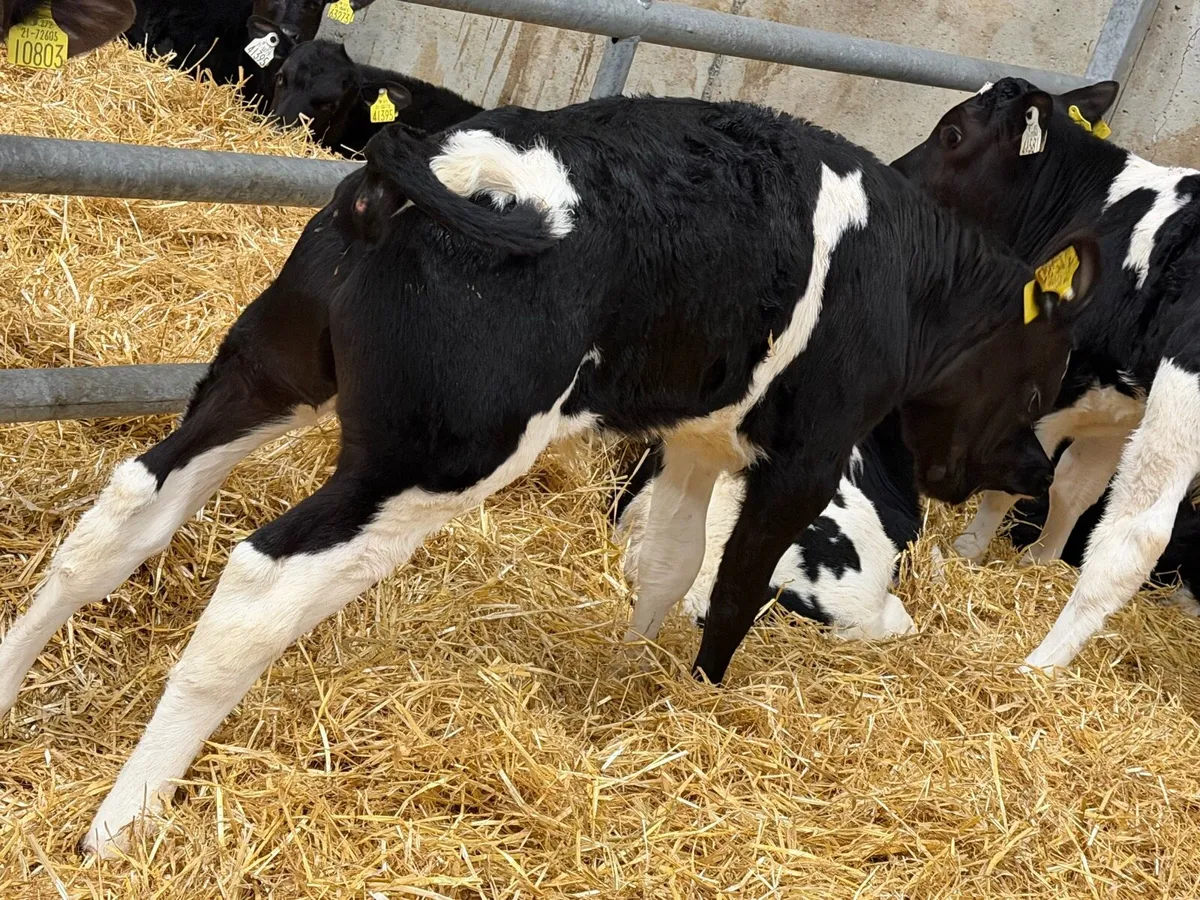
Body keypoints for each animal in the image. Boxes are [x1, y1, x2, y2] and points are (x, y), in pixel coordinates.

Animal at [894, 76, 1200, 672]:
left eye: (952, 133)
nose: (893, 174)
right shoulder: (1115, 405)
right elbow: (1075, 486)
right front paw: (1040, 559)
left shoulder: (1053, 384)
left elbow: (1015, 477)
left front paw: (969, 548)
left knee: (1137, 537)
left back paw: (1043, 661)